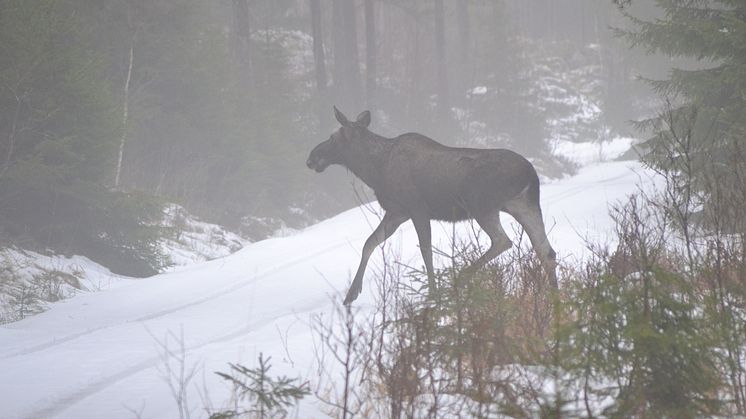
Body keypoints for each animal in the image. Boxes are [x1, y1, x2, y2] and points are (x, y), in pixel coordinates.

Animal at [306, 108, 556, 306]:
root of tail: (530, 173)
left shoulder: (416, 209)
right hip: (524, 205)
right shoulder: (397, 212)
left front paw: (433, 293)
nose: (311, 157)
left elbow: (425, 249)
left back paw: (461, 276)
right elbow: (370, 243)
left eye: (333, 137)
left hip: (482, 205)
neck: (375, 170)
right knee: (546, 252)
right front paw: (351, 294)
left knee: (503, 240)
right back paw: (555, 300)